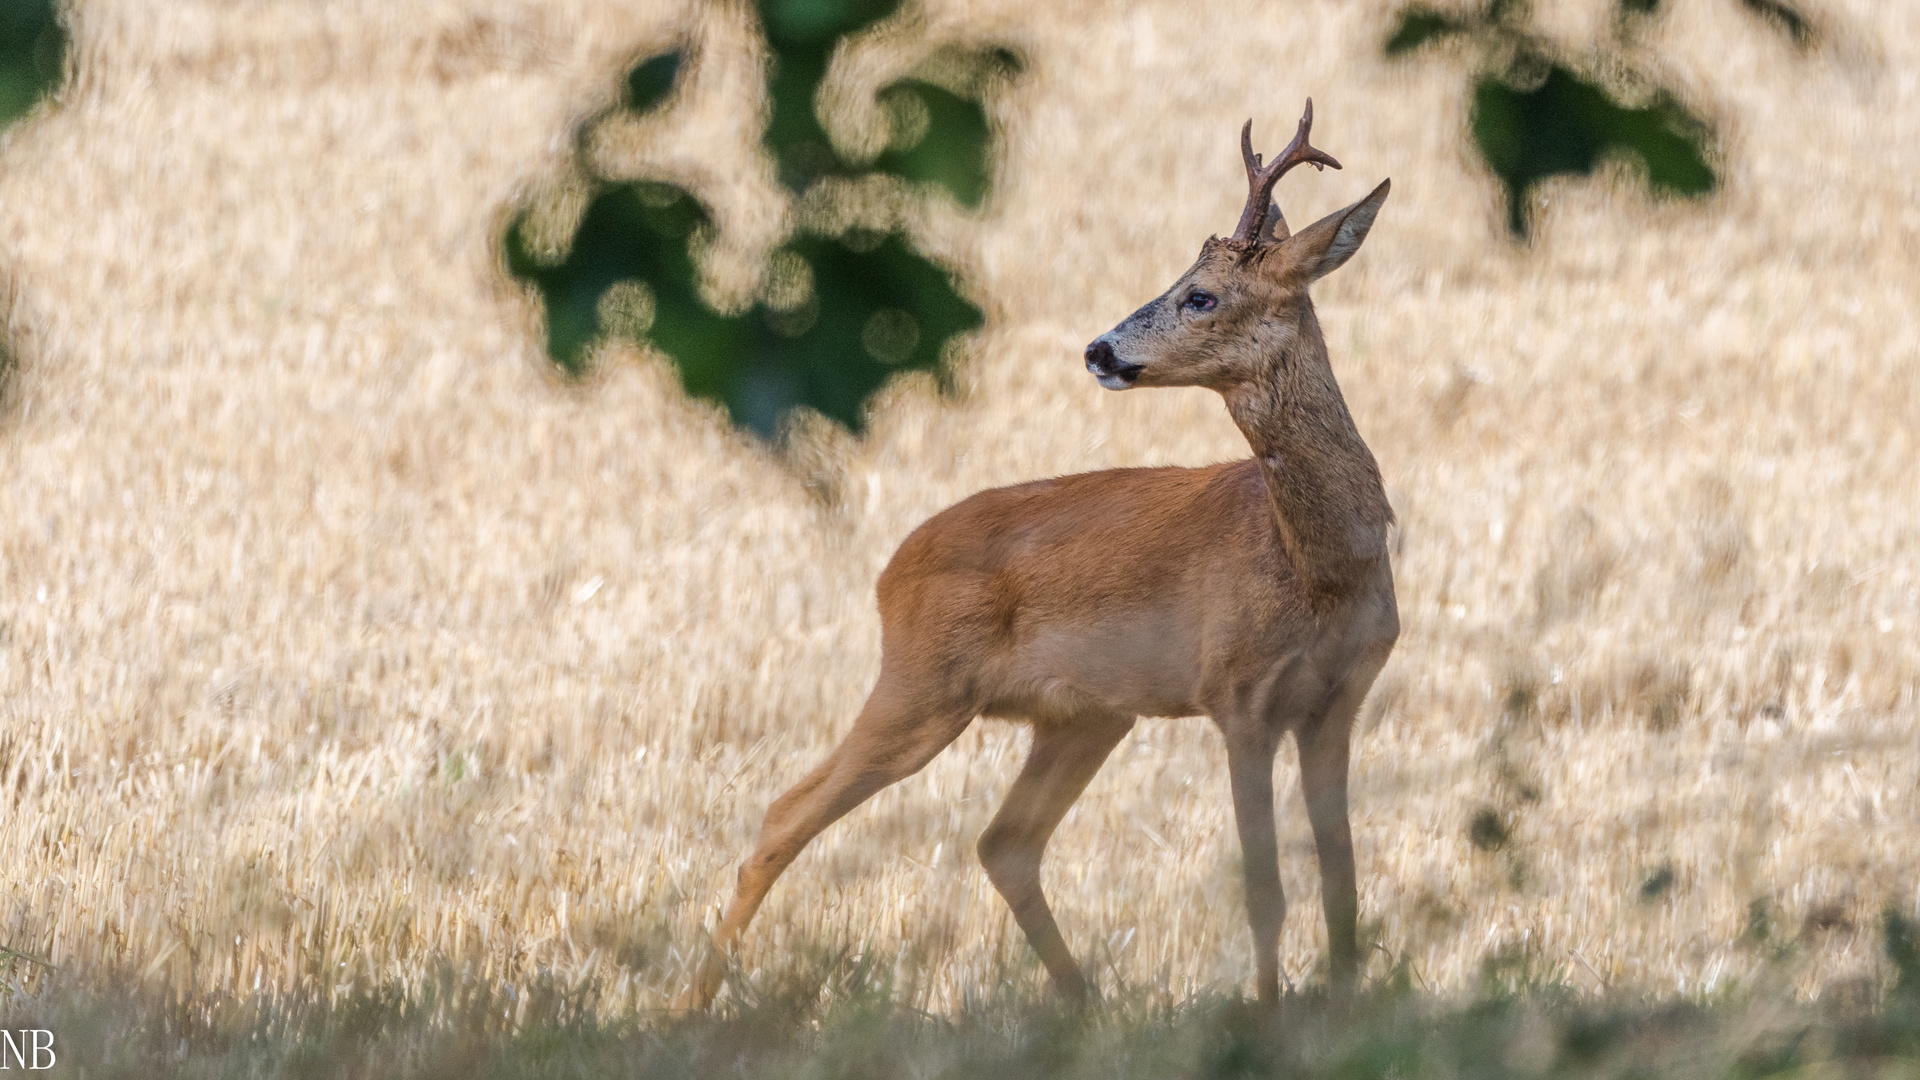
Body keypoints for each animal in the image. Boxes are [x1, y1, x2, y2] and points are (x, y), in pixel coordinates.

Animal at [687, 100, 1397, 1006]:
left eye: (1200, 295)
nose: (1099, 350)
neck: (1318, 568)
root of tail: (890, 569)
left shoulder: (1339, 700)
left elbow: (1343, 882)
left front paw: (1345, 1008)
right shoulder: (1236, 695)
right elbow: (1264, 890)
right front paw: (1269, 1016)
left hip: (1082, 713)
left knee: (1006, 841)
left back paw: (1086, 1004)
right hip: (923, 683)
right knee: (787, 814)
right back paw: (689, 1003)